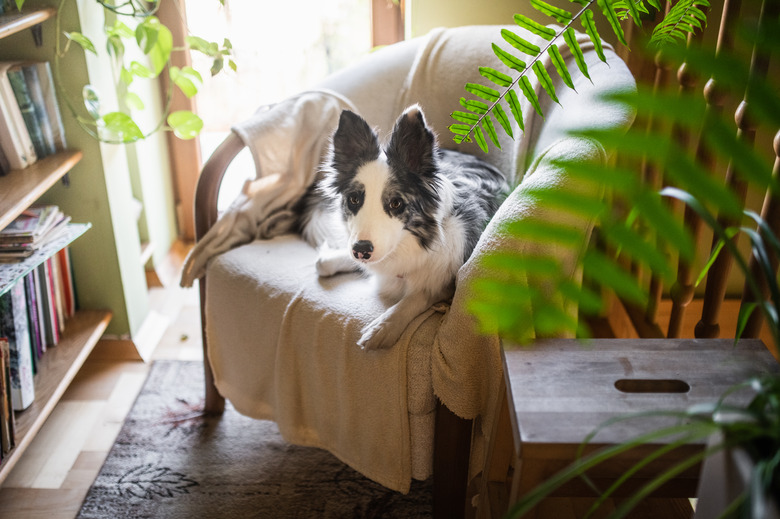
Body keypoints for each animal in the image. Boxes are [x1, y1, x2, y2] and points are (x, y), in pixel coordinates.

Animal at [298, 104, 506, 350]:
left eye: (396, 203)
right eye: (354, 200)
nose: (361, 250)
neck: (412, 244)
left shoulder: (447, 280)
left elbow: (418, 296)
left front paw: (383, 327)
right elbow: (322, 263)